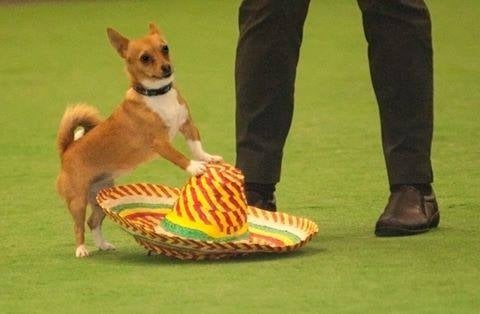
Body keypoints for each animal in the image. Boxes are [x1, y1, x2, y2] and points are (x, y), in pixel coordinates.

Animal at [55, 22, 223, 258]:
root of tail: (68, 149)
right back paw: (81, 249)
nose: (166, 67)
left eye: (165, 48)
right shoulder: (161, 143)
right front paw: (195, 167)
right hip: (77, 200)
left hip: (98, 196)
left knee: (93, 222)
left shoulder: (187, 125)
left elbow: (195, 146)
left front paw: (207, 157)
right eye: (145, 58)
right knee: (78, 225)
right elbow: (179, 156)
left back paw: (103, 245)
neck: (158, 94)